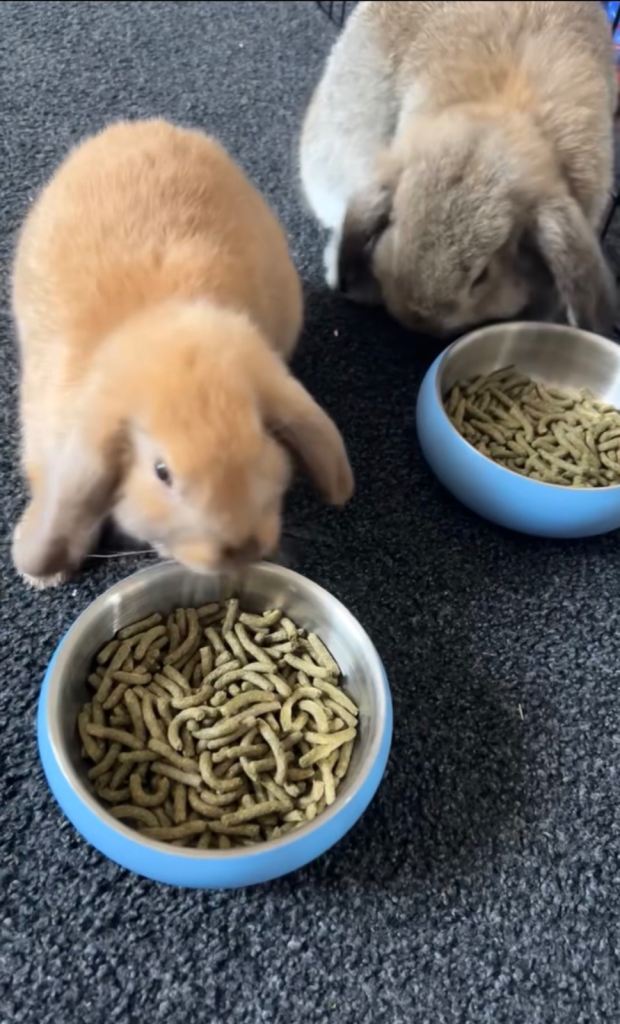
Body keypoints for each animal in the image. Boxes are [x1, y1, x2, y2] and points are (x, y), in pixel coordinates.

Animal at [12, 119, 354, 587]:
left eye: (262, 438)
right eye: (162, 473)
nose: (242, 548)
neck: (157, 320)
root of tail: (145, 126)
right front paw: (45, 574)